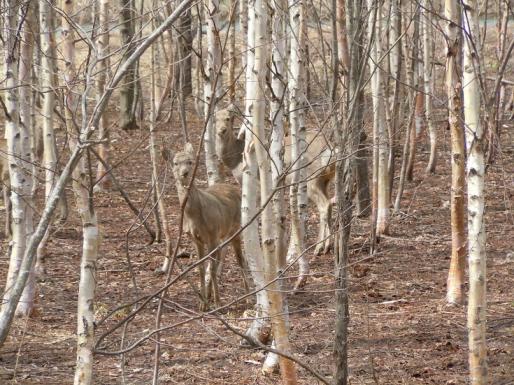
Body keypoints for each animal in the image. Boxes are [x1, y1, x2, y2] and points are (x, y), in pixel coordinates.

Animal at [171, 141, 249, 308]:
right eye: (175, 163)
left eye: (190, 161)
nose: (185, 173)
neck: (193, 217)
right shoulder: (196, 239)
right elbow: (201, 267)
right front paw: (203, 303)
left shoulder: (212, 234)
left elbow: (211, 268)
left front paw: (217, 303)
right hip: (221, 235)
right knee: (220, 257)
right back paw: (210, 295)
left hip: (235, 229)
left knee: (240, 259)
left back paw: (248, 296)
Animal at [214, 106, 334, 256]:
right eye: (215, 119)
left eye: (228, 118)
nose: (222, 130)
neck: (235, 160)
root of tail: (330, 151)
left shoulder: (257, 184)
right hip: (324, 180)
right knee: (329, 202)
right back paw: (327, 246)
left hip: (311, 178)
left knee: (324, 205)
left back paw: (318, 248)